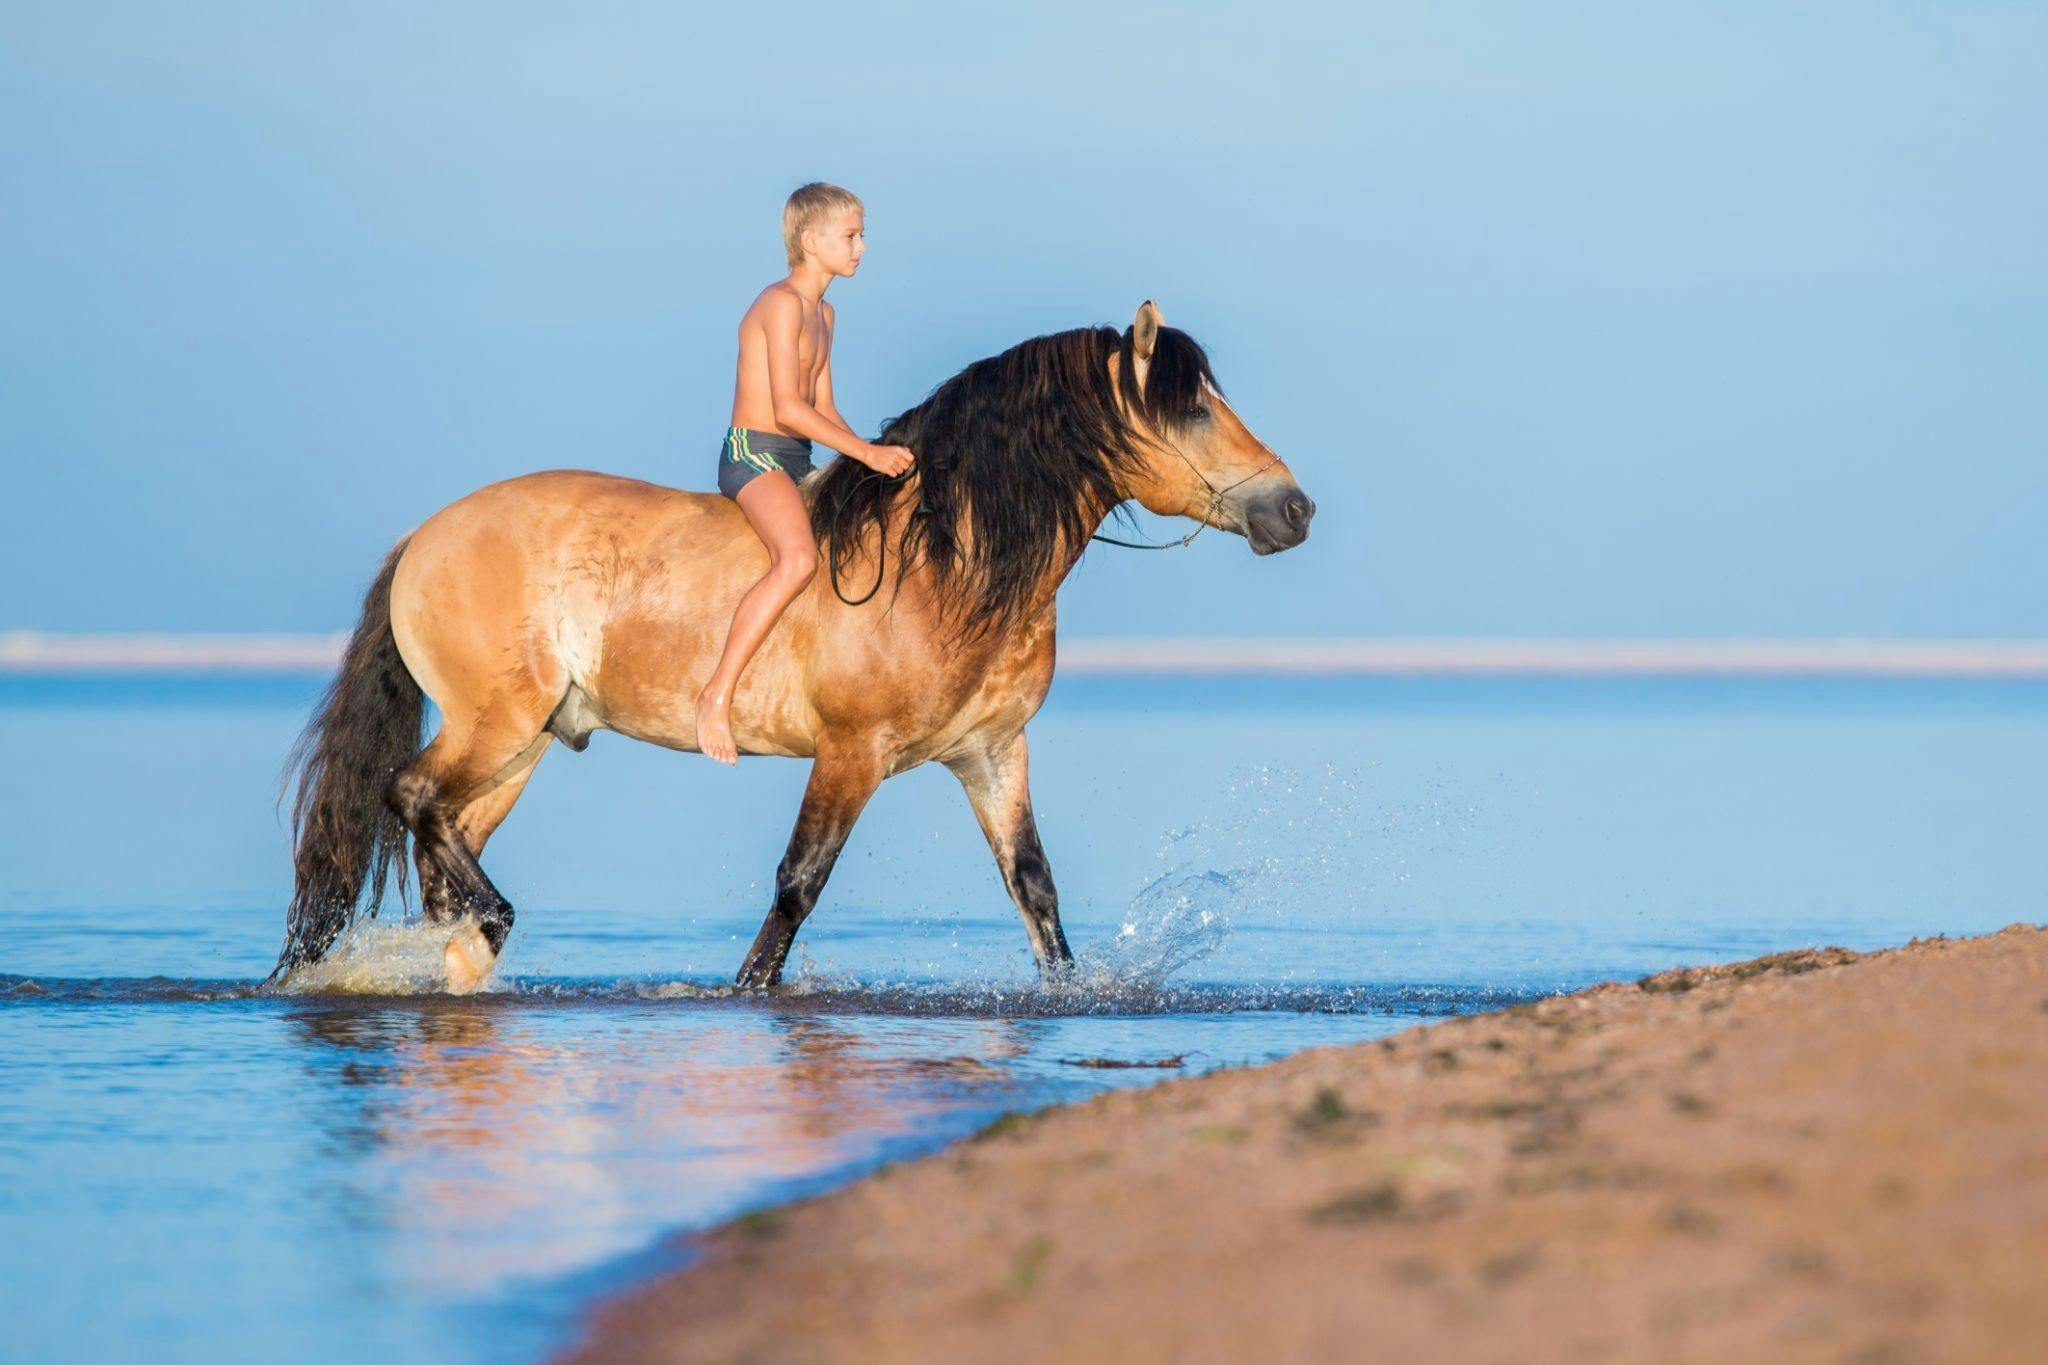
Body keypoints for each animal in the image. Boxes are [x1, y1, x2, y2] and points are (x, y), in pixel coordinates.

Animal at [278, 301, 1316, 993]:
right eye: (1190, 408)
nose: (1294, 509)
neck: (945, 560)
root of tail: (425, 538)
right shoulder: (852, 755)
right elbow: (797, 883)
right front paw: (746, 992)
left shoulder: (991, 753)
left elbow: (1036, 890)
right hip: (495, 727)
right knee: (411, 796)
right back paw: (488, 927)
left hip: (521, 748)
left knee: (438, 837)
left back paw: (459, 954)